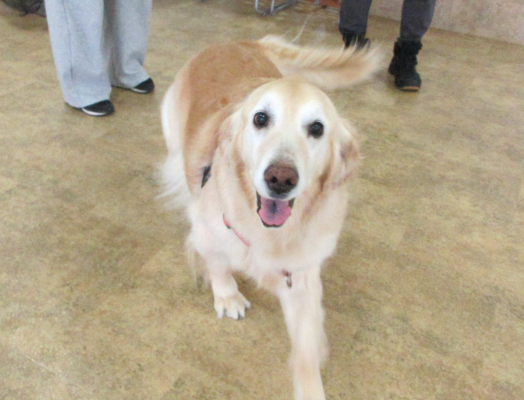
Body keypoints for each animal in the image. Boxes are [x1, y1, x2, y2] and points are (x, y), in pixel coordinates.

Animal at [160, 36, 379, 400]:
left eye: (317, 128)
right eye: (261, 118)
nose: (280, 178)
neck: (269, 234)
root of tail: (239, 41)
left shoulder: (302, 275)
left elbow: (306, 352)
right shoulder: (208, 233)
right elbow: (218, 264)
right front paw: (228, 296)